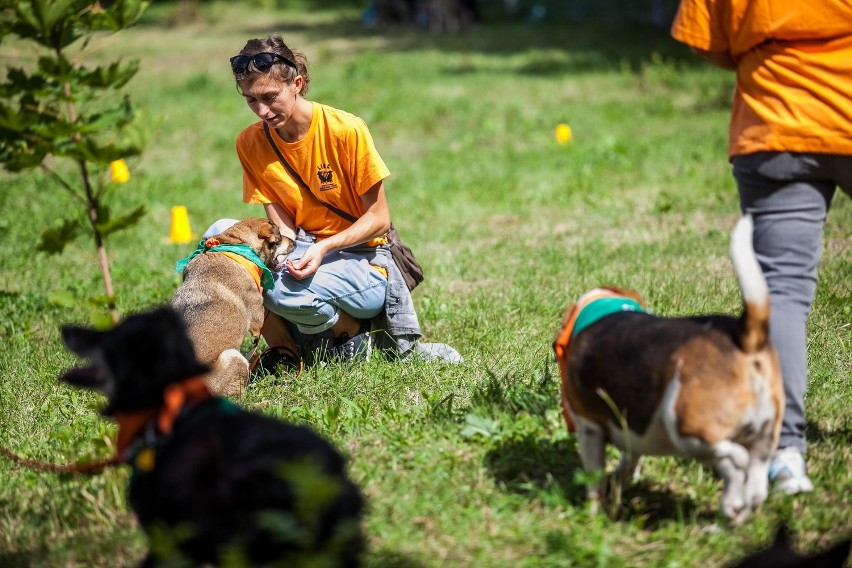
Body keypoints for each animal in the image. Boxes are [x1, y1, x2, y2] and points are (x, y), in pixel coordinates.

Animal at [552, 216, 784, 524]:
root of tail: (745, 337)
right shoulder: (632, 432)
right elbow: (628, 461)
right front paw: (618, 486)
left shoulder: (589, 428)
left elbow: (595, 481)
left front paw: (593, 516)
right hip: (764, 439)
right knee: (755, 485)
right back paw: (729, 521)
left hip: (686, 428)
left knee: (736, 462)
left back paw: (727, 505)